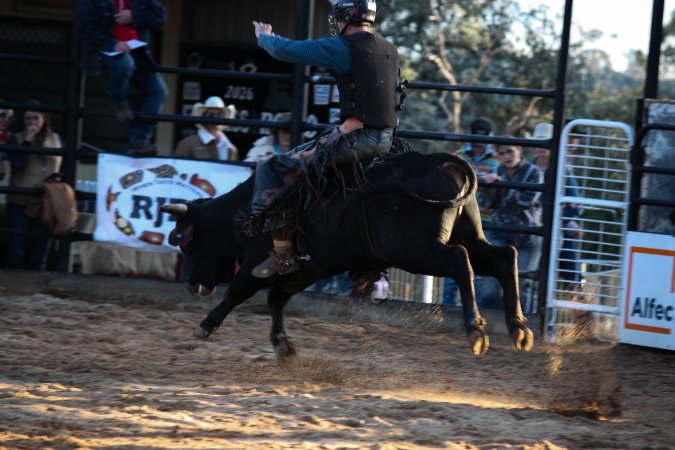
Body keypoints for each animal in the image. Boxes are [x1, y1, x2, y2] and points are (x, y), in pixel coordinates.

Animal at [161, 151, 534, 357]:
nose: (192, 285)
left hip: (416, 251)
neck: (243, 213)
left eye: (184, 242)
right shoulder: (309, 269)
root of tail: (442, 161)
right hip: (468, 235)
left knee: (459, 260)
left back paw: (476, 330)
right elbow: (277, 299)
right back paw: (519, 329)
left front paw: (205, 325)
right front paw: (282, 345)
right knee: (504, 257)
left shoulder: (256, 261)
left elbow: (240, 291)